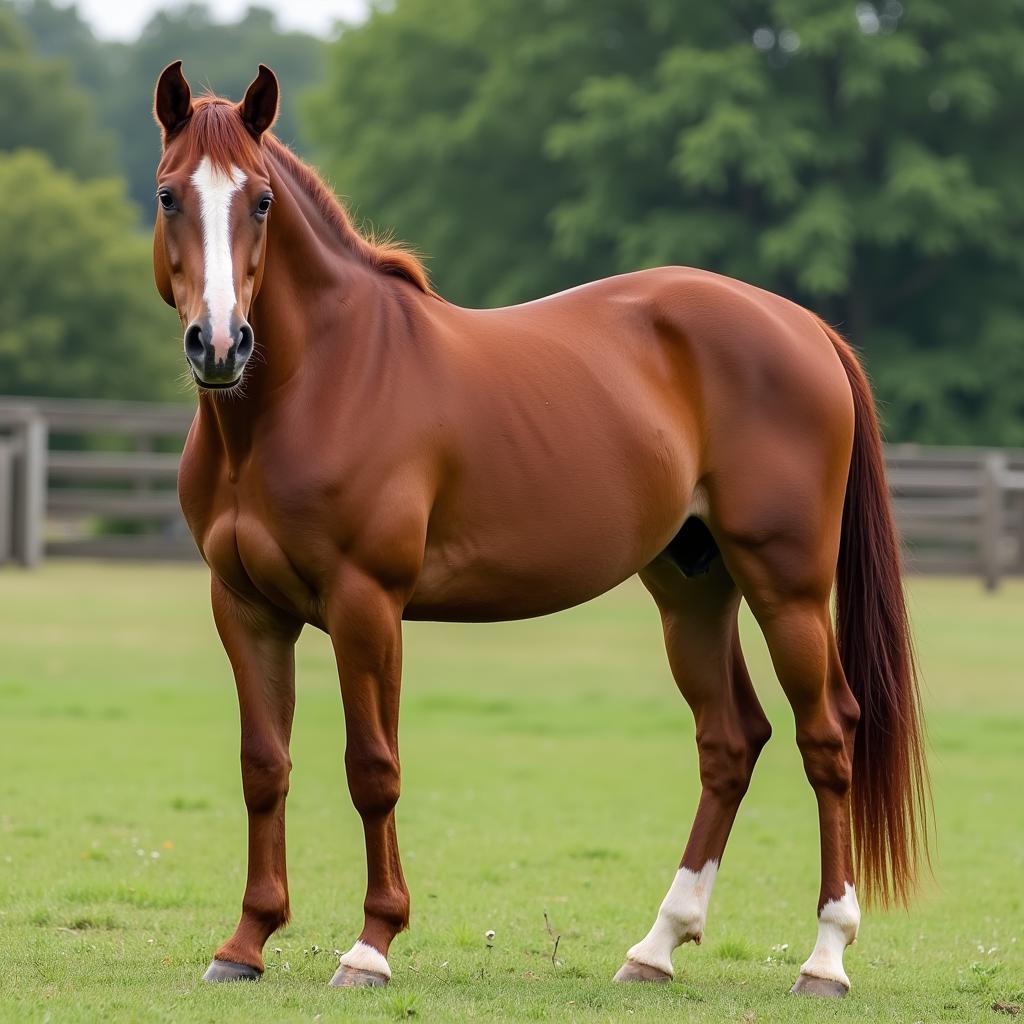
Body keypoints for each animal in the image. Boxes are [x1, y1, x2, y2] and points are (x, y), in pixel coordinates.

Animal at [151, 59, 929, 995]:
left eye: (261, 200)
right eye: (167, 196)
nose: (219, 344)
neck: (315, 386)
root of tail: (804, 326)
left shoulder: (365, 604)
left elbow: (372, 769)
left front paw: (372, 945)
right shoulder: (246, 608)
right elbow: (264, 767)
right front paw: (246, 942)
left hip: (789, 588)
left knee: (828, 736)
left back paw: (825, 957)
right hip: (694, 588)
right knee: (731, 741)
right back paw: (656, 947)